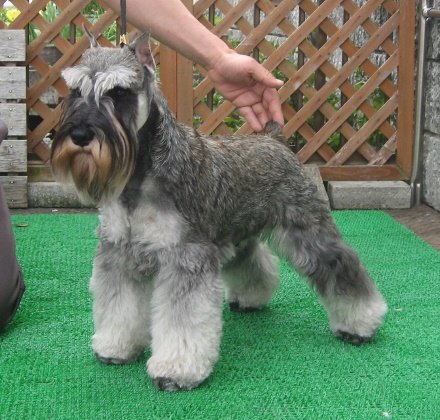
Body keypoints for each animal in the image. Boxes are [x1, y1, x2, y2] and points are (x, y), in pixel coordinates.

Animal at [51, 30, 388, 391]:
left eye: (118, 92)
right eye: (75, 91)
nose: (79, 134)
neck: (139, 176)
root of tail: (274, 140)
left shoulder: (187, 257)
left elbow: (183, 320)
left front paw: (177, 369)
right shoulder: (118, 254)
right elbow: (118, 304)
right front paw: (116, 345)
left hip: (307, 229)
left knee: (340, 266)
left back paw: (361, 322)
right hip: (238, 234)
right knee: (252, 262)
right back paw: (251, 298)